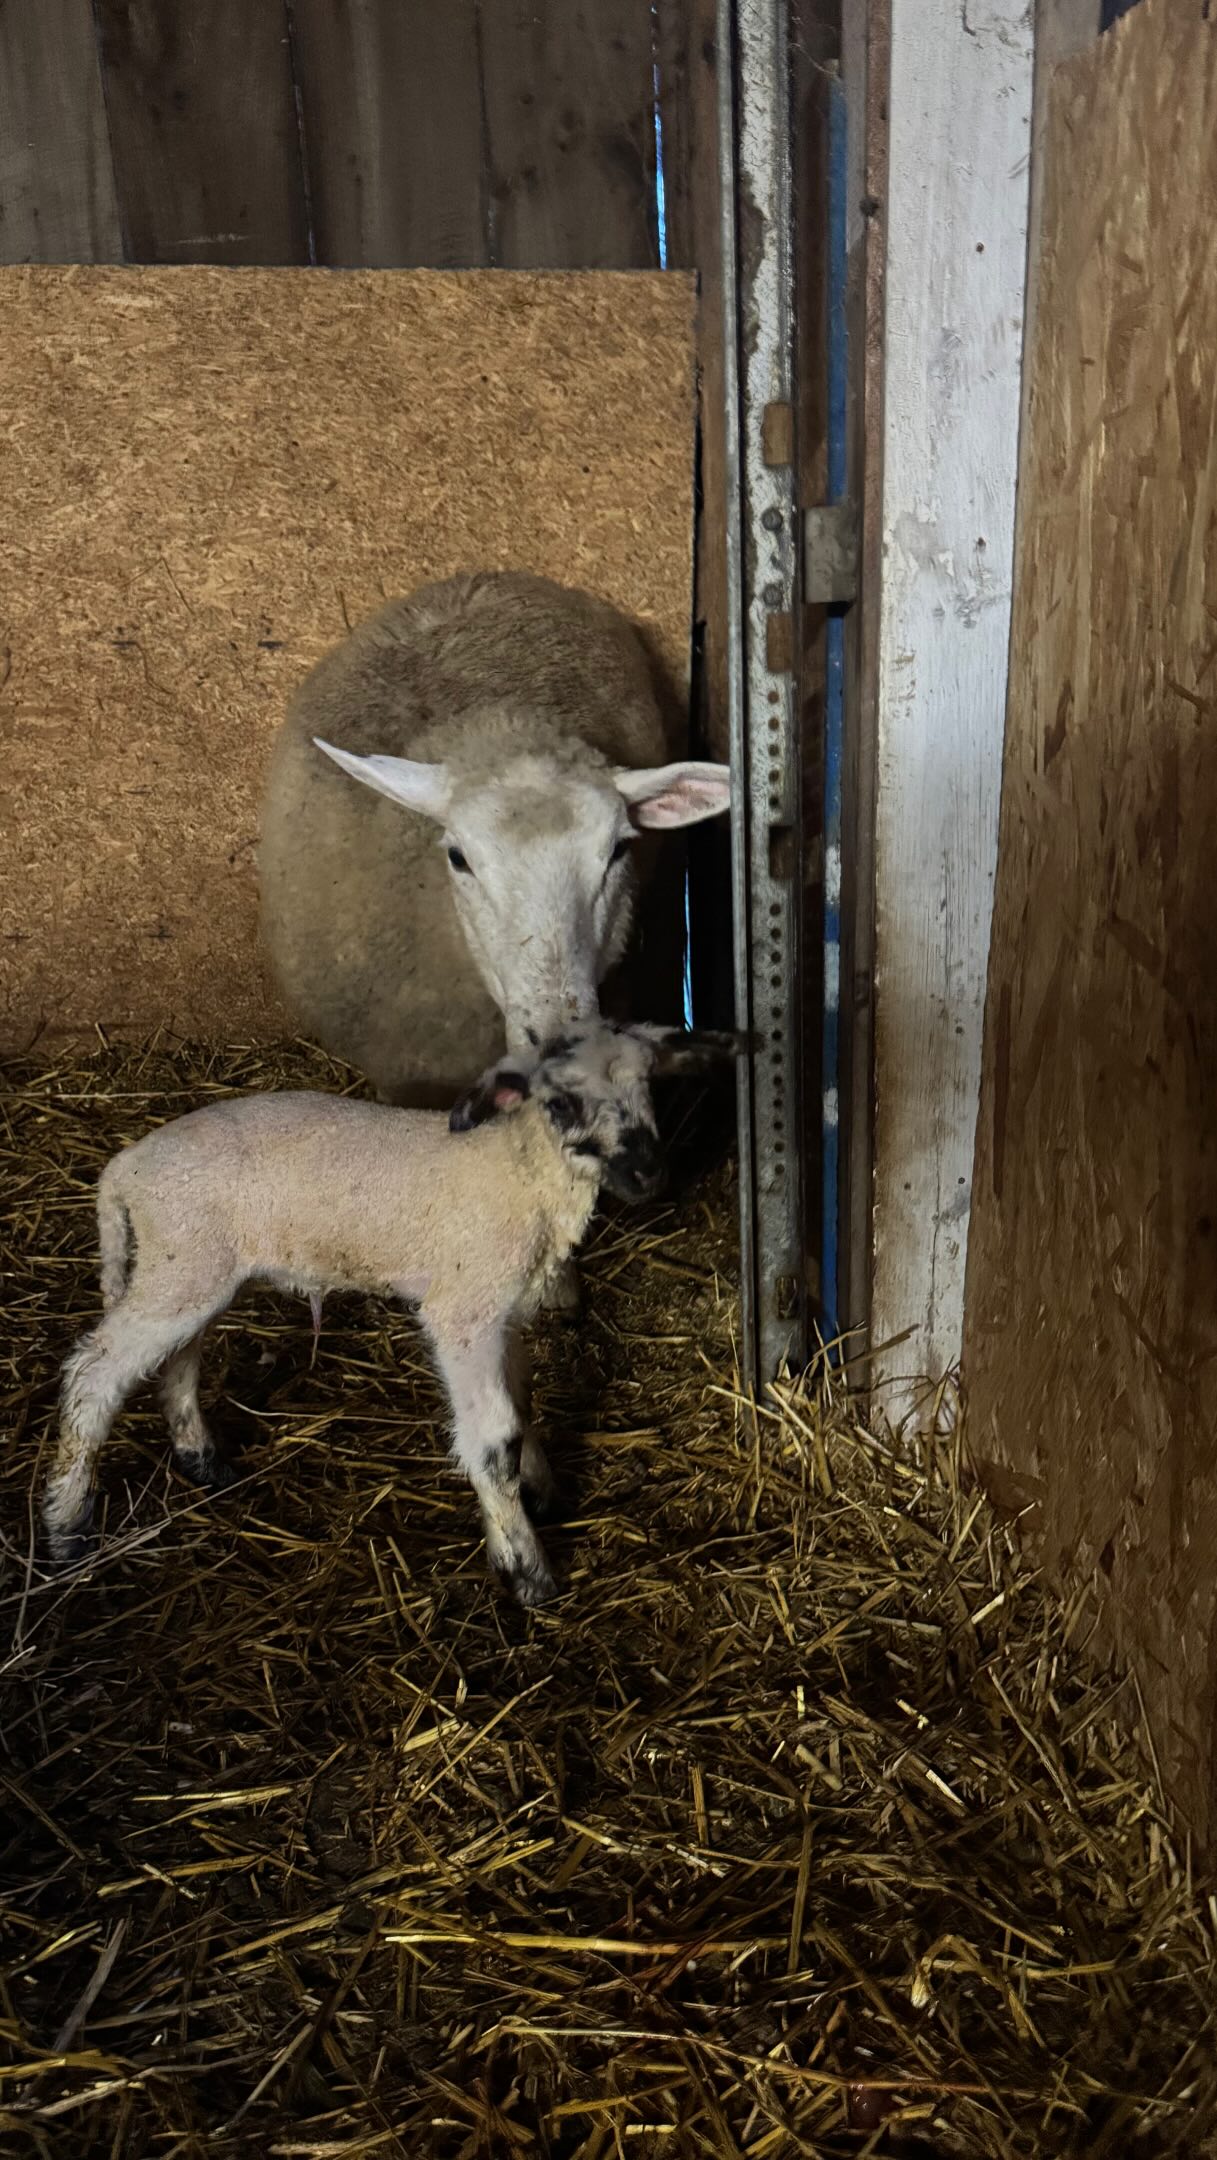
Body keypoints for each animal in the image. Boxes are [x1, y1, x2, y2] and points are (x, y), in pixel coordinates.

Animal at [43, 1022, 740, 1607]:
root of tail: (122, 1169)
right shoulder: (462, 1312)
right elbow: (495, 1440)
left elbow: (520, 1407)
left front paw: (539, 1493)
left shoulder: (502, 1311)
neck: (517, 1170)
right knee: (94, 1372)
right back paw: (66, 1529)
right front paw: (526, 1571)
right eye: (562, 1103)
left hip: (194, 1265)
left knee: (176, 1357)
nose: (649, 1174)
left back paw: (201, 1460)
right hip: (184, 1258)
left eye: (648, 1085)